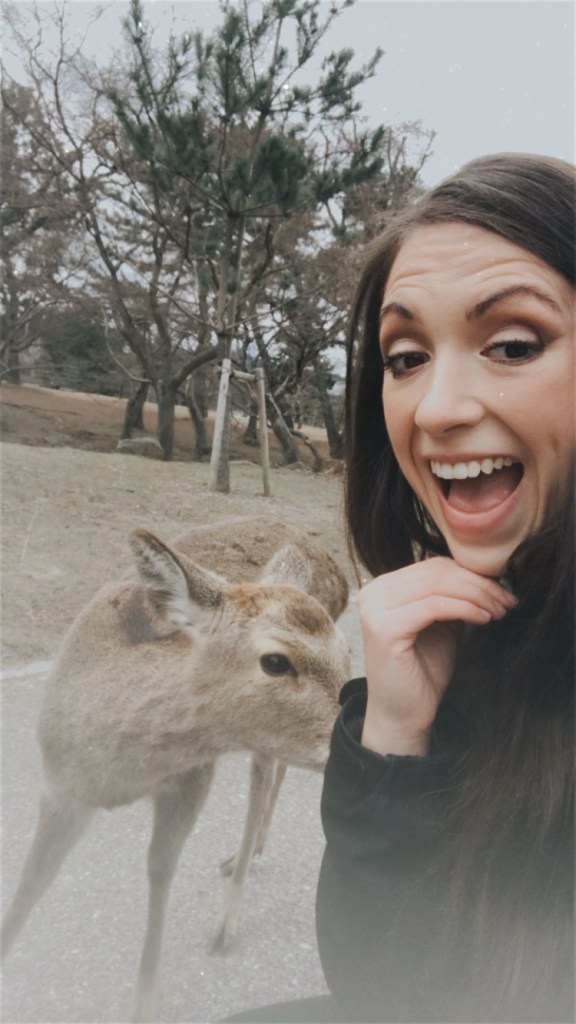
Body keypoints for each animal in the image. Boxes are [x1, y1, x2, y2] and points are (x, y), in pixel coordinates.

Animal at [1, 516, 350, 1022]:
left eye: (348, 654)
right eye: (275, 660)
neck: (117, 773)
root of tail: (334, 568)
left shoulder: (192, 775)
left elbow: (160, 869)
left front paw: (145, 1003)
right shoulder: (60, 788)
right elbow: (30, 883)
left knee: (262, 778)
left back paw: (228, 916)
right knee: (275, 771)